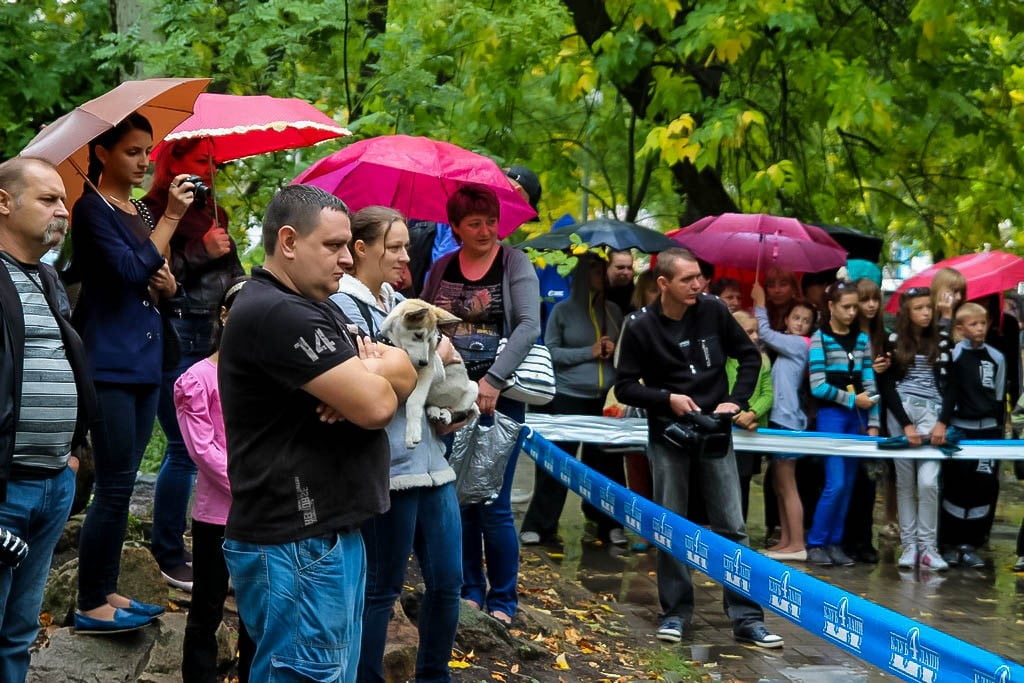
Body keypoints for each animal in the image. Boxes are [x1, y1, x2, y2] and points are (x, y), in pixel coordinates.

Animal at [380, 299, 479, 448]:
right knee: (432, 405)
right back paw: (434, 410)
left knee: (454, 410)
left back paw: (446, 414)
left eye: (431, 339)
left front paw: (413, 431)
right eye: (418, 335)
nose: (424, 362)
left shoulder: (430, 370)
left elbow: (414, 400)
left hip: (473, 387)